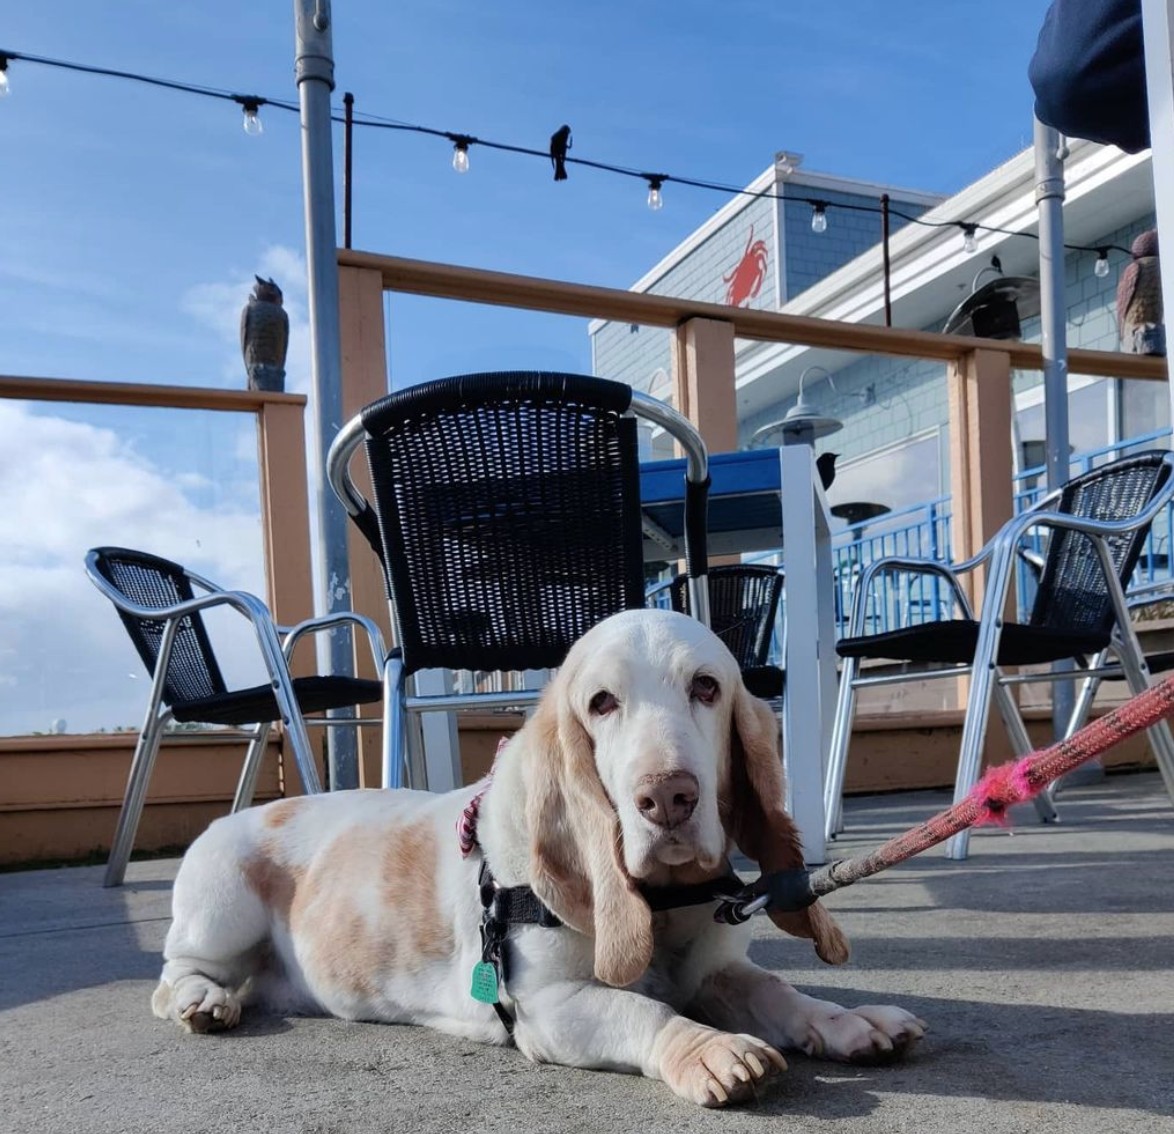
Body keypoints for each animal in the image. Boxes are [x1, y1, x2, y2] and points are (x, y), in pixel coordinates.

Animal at [152, 608, 925, 1107]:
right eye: (602, 702)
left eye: (707, 687)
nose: (667, 797)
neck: (662, 903)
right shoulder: (549, 1008)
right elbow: (647, 1013)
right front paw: (714, 1051)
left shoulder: (718, 970)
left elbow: (777, 992)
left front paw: (850, 1022)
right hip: (220, 909)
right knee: (174, 973)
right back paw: (202, 1002)